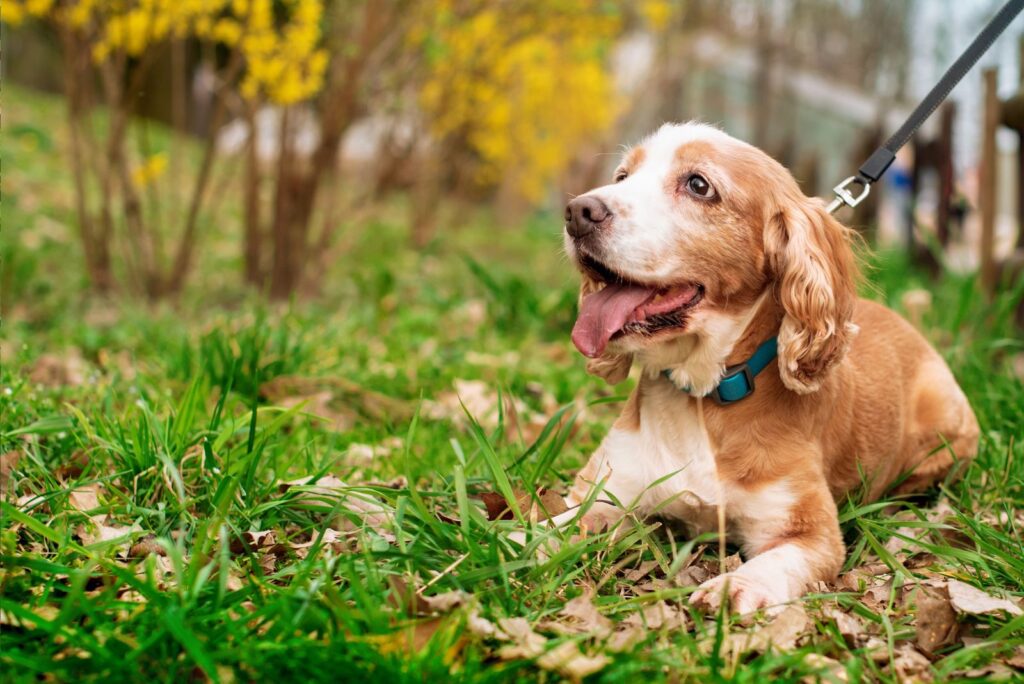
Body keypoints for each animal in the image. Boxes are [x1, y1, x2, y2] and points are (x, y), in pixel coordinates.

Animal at [557, 122, 978, 614]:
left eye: (698, 185)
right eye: (622, 176)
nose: (578, 212)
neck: (702, 395)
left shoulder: (807, 531)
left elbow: (775, 562)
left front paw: (734, 587)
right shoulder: (604, 492)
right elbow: (551, 528)